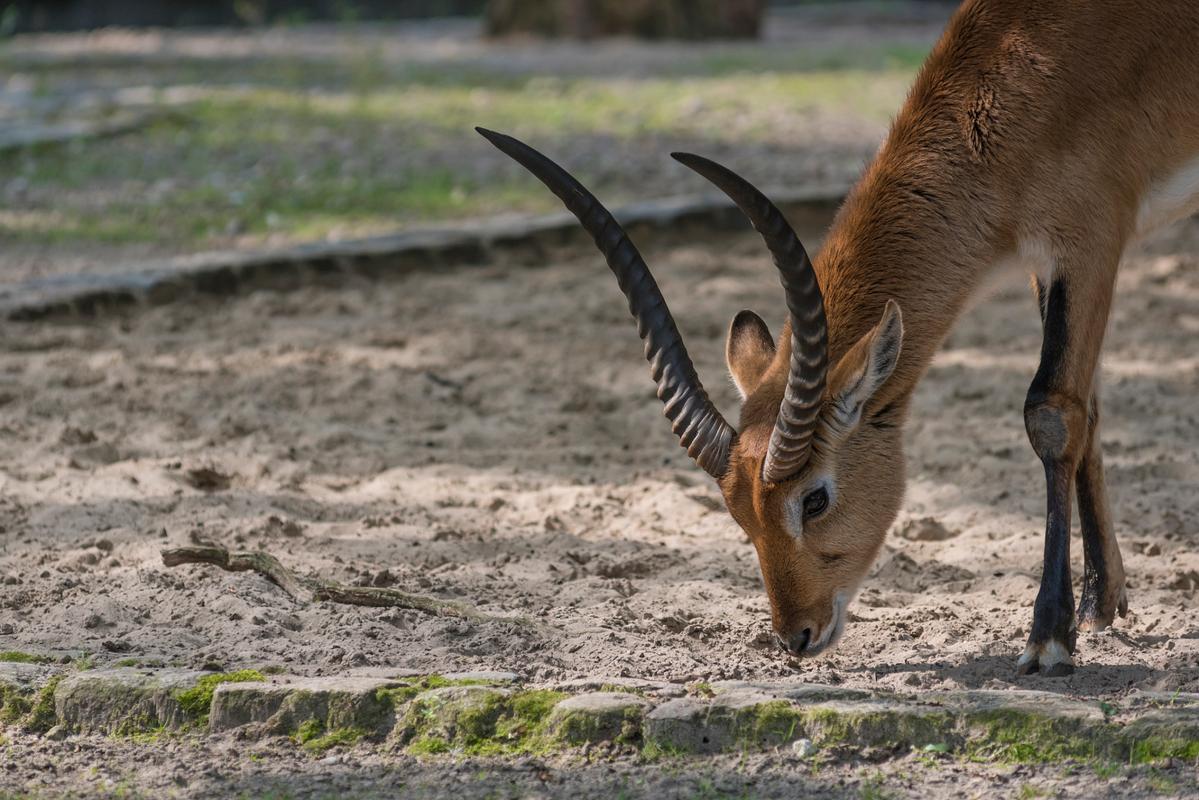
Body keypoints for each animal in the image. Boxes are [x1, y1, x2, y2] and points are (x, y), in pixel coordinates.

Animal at [481, 0, 1199, 676]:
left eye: (815, 497)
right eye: (737, 509)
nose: (796, 636)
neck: (1032, 56)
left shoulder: (1089, 241)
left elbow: (1051, 412)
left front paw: (1049, 639)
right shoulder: (1046, 262)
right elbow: (1088, 407)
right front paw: (1102, 604)